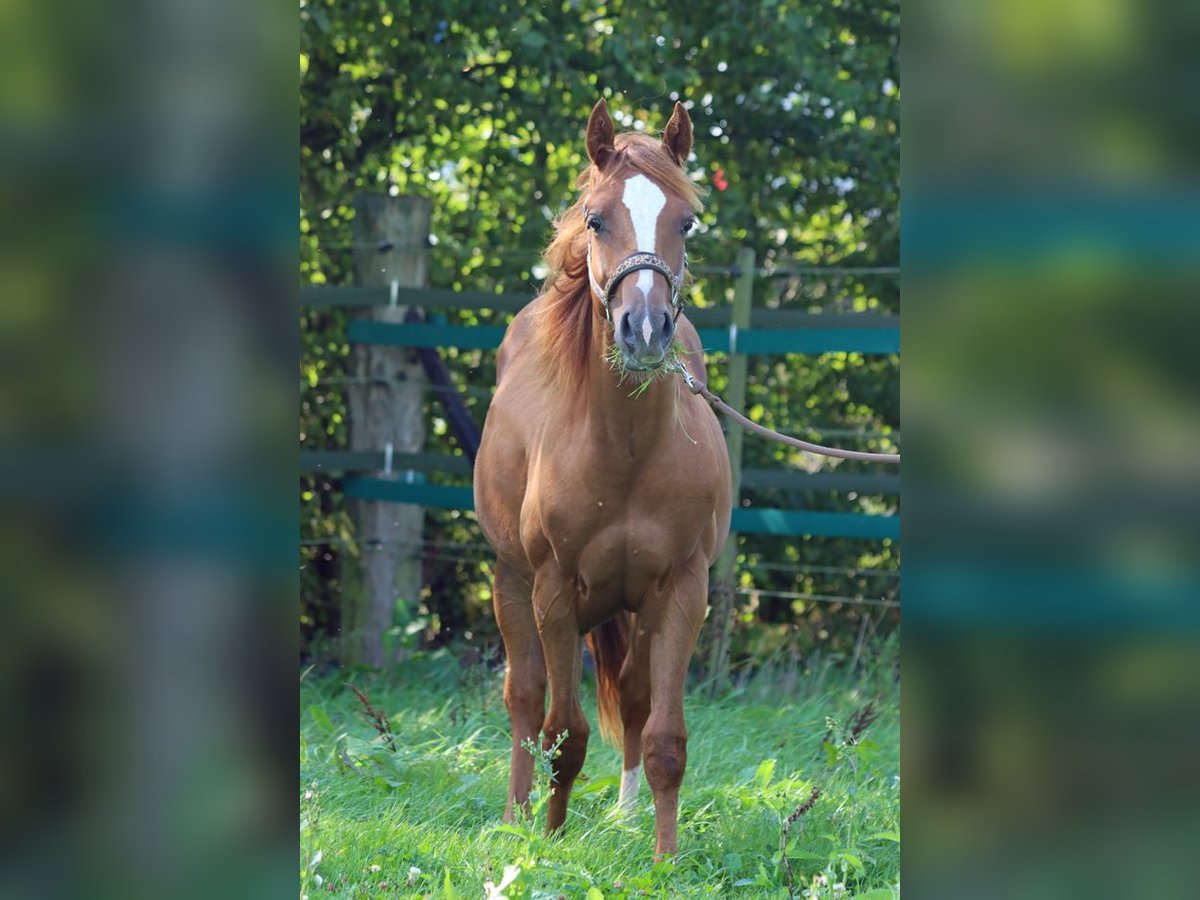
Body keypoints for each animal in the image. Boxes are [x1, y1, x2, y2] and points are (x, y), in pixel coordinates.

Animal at [475, 98, 729, 859]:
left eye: (687, 221)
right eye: (595, 219)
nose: (644, 331)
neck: (627, 453)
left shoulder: (683, 591)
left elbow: (664, 736)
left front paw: (666, 859)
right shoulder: (555, 591)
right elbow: (563, 729)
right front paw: (550, 839)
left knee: (636, 700)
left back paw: (621, 814)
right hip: (511, 584)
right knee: (524, 698)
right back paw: (515, 815)